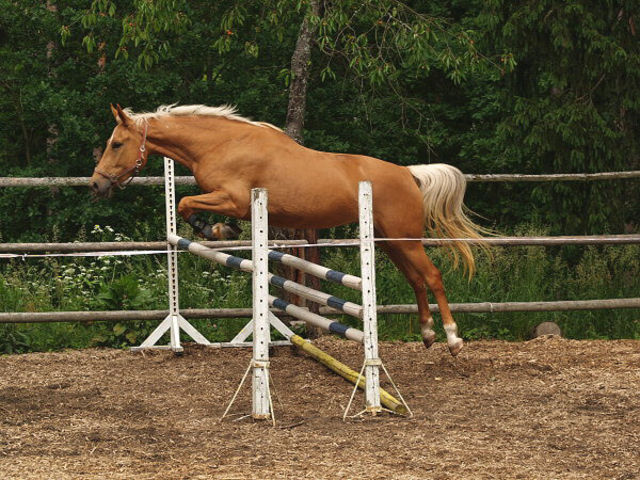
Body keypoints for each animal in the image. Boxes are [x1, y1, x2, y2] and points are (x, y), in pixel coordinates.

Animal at [90, 103, 484, 354]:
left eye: (117, 144)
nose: (97, 184)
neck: (223, 144)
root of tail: (407, 173)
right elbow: (185, 205)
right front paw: (219, 231)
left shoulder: (234, 200)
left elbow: (186, 203)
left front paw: (216, 231)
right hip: (390, 241)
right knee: (416, 280)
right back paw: (427, 334)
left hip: (405, 239)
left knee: (431, 276)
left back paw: (452, 339)